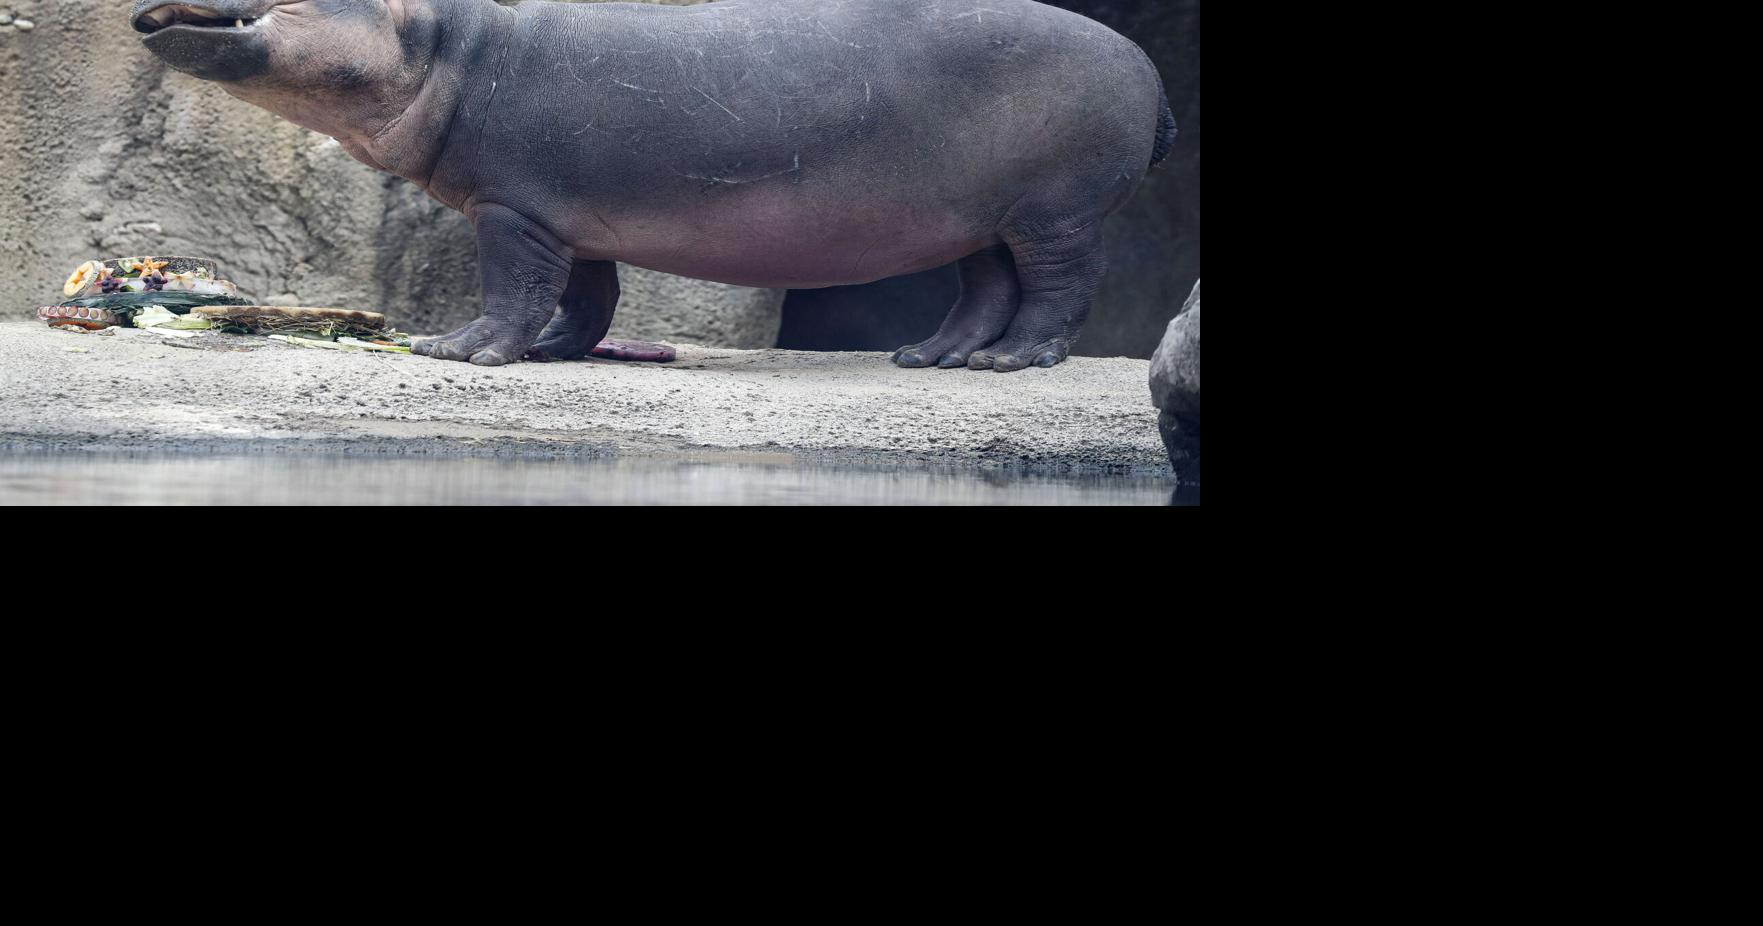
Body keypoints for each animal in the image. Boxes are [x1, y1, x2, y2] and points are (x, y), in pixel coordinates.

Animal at [132, 0, 1175, 370]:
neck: (447, 44)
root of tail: (1149, 68)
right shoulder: (564, 219)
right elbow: (584, 298)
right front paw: (556, 353)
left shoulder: (511, 212)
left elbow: (513, 292)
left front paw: (456, 350)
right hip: (984, 218)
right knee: (986, 288)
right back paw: (930, 358)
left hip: (1057, 212)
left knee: (1057, 290)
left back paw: (1010, 363)